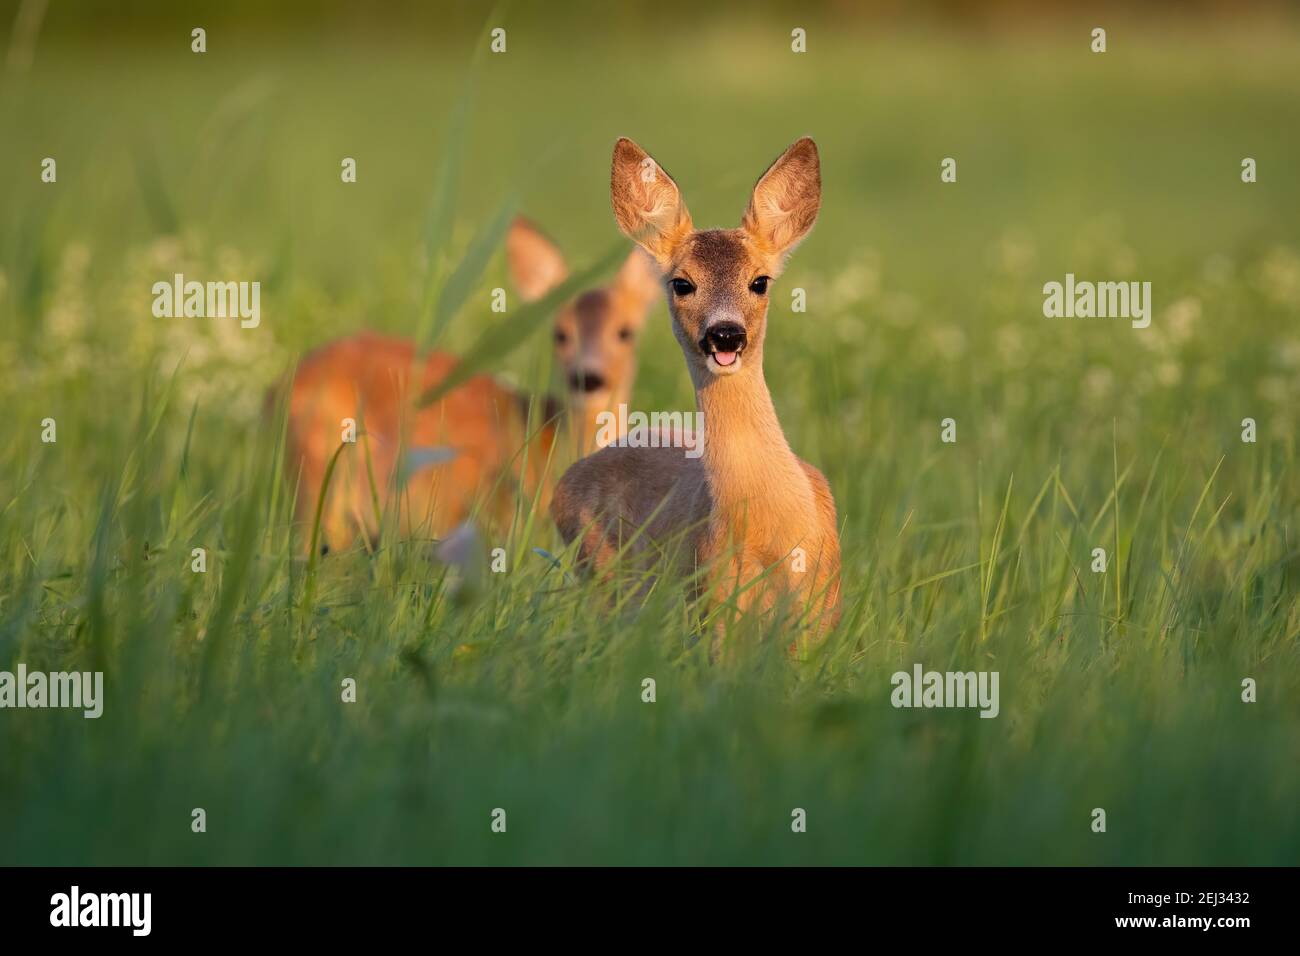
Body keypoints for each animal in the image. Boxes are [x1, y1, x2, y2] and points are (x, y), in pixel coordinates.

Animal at [550, 137, 842, 641]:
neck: (772, 522)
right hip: (601, 571)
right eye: (682, 283)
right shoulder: (713, 594)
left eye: (760, 281)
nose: (725, 334)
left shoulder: (822, 604)